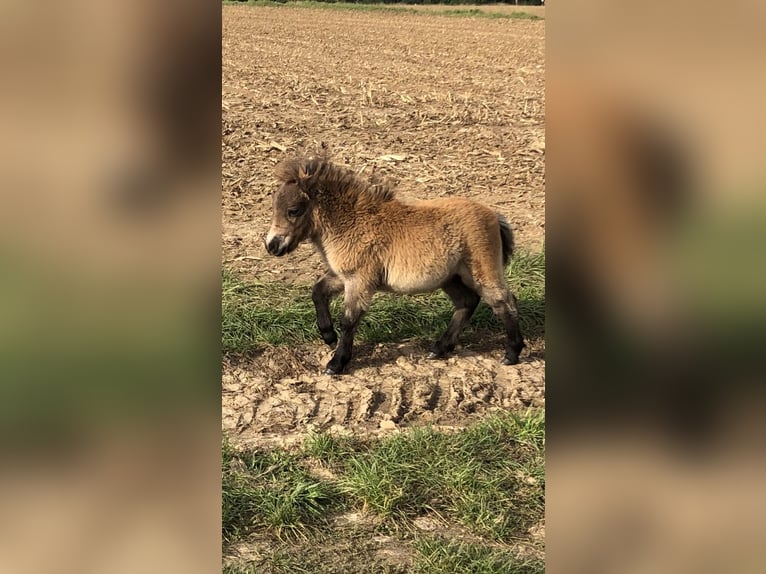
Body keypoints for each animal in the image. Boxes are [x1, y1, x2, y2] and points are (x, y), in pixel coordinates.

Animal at [265, 156, 525, 375]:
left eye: (293, 210)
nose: (272, 245)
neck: (352, 222)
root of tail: (494, 215)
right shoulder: (343, 276)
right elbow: (318, 291)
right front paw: (328, 336)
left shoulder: (359, 281)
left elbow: (349, 320)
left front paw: (336, 363)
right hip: (451, 277)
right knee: (467, 302)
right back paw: (439, 348)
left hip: (482, 271)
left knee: (504, 302)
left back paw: (512, 354)